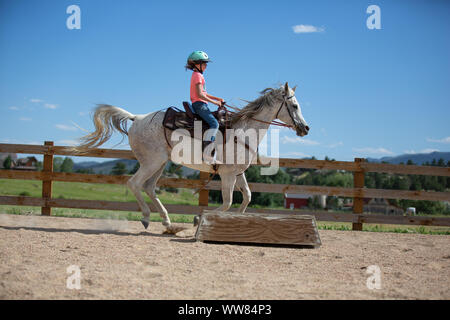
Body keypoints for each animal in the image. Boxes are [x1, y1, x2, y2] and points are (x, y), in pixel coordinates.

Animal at [75, 82, 312, 232]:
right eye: (294, 105)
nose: (305, 128)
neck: (243, 131)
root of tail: (137, 118)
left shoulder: (238, 173)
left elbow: (246, 198)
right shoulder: (227, 174)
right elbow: (227, 202)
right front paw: (199, 219)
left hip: (159, 163)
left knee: (149, 187)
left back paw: (167, 222)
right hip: (151, 162)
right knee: (134, 184)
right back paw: (146, 217)